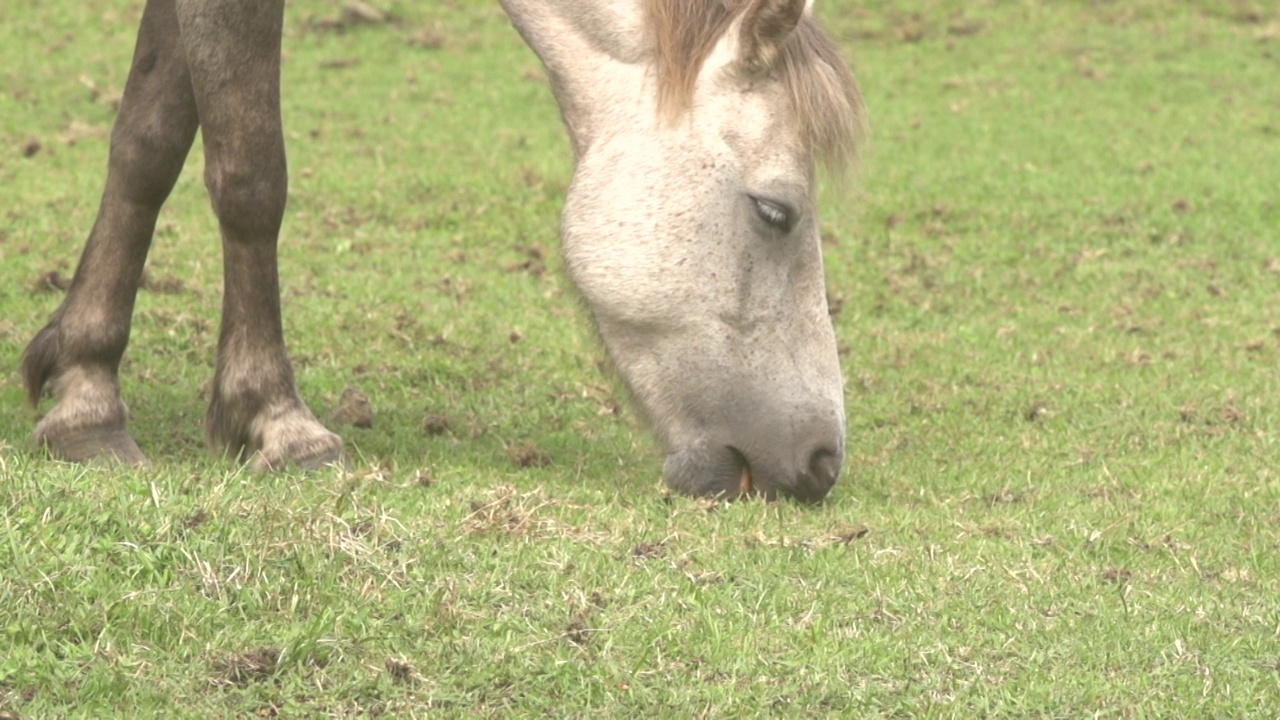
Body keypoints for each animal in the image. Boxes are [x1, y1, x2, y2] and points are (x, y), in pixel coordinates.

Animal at [17, 0, 860, 502]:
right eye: (776, 212)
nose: (823, 462)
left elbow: (148, 141)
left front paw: (84, 391)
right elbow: (250, 175)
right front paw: (277, 419)